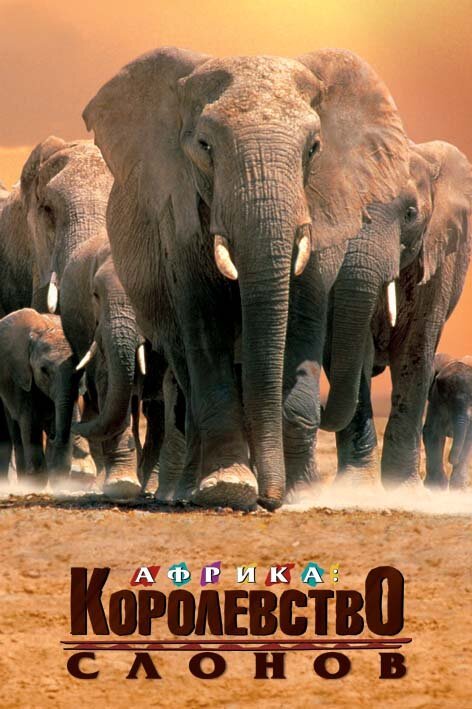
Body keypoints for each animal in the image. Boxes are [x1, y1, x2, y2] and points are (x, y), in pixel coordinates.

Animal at [0, 308, 79, 487]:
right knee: (16, 430)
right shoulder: (21, 375)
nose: (52, 435)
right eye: (44, 370)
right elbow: (29, 421)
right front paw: (35, 484)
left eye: (81, 370)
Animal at [83, 46, 409, 510]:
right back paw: (185, 491)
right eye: (204, 146)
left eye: (314, 148)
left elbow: (302, 320)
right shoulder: (178, 215)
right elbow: (204, 323)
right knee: (185, 372)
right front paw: (229, 487)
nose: (269, 501)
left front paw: (300, 494)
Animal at [423, 353, 472, 489]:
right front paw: (437, 487)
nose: (452, 460)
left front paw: (458, 488)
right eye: (445, 397)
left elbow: (469, 437)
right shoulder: (436, 400)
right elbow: (433, 432)